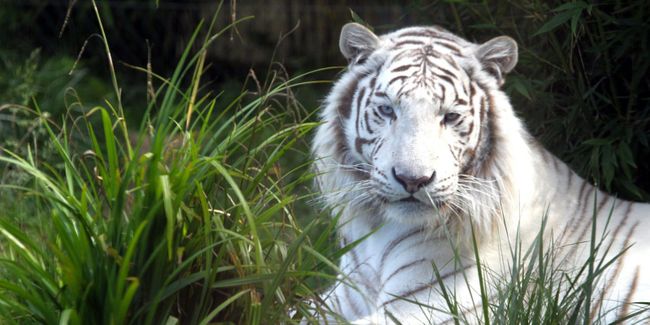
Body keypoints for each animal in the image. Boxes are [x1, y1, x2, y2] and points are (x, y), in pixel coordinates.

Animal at [310, 22, 648, 322]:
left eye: (450, 117)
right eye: (387, 110)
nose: (412, 180)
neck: (376, 233)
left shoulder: (427, 306)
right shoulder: (340, 297)